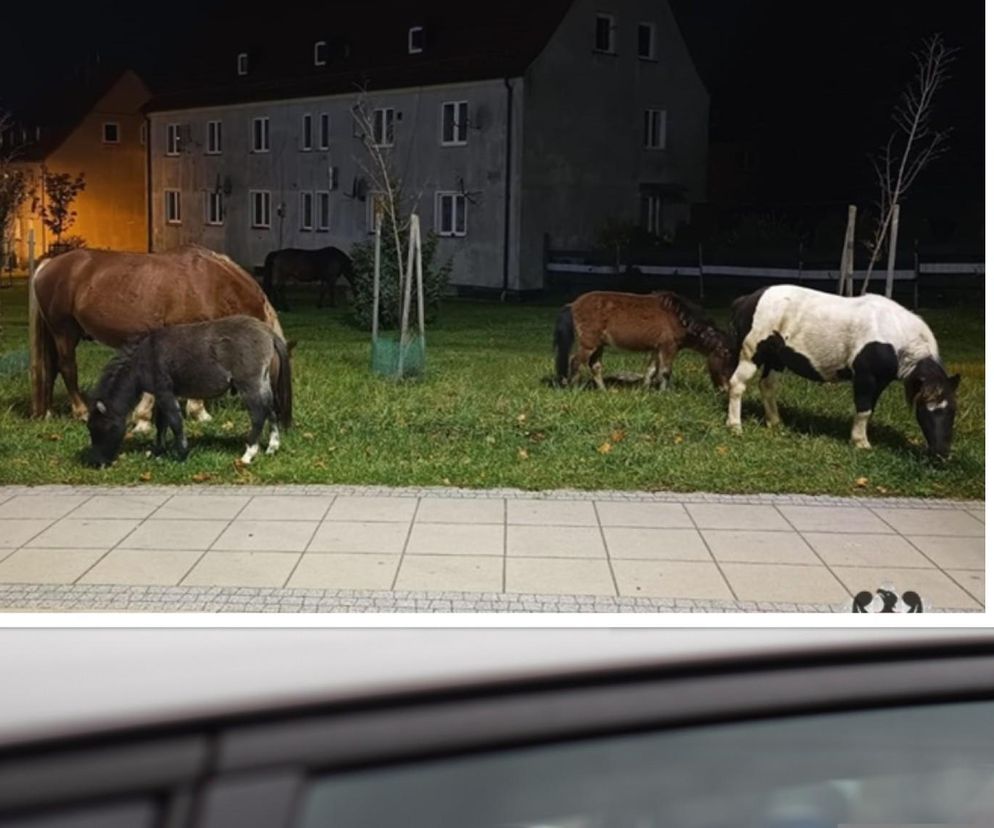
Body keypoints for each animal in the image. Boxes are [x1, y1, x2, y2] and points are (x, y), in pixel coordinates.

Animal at [29, 244, 282, 430]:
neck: (210, 284)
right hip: (64, 332)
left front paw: (144, 418)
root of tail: (48, 265)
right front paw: (198, 413)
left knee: (52, 368)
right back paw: (81, 412)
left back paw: (48, 412)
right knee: (67, 368)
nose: (277, 413)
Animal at [86, 314, 290, 466]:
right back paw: (272, 447)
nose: (97, 463)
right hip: (262, 383)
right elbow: (161, 424)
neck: (143, 359)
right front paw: (158, 452)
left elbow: (175, 422)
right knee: (271, 410)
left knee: (258, 415)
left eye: (105, 427)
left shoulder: (165, 392)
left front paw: (182, 454)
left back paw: (248, 455)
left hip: (249, 384)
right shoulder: (162, 394)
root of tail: (267, 332)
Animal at [552, 290, 736, 392]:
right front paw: (664, 393)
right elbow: (665, 372)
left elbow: (651, 370)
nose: (726, 388)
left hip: (599, 345)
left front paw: (645, 390)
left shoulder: (657, 348)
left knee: (595, 366)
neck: (679, 318)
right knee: (576, 362)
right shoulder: (669, 347)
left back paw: (603, 390)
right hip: (588, 344)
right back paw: (574, 389)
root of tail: (573, 304)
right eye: (725, 354)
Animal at [724, 286, 956, 460]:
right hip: (752, 355)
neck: (895, 334)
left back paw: (774, 422)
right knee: (737, 385)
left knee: (767, 387)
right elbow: (864, 409)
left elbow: (870, 408)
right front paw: (860, 442)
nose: (941, 453)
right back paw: (735, 426)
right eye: (927, 409)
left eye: (952, 411)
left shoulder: (881, 381)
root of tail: (748, 299)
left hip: (776, 360)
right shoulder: (865, 377)